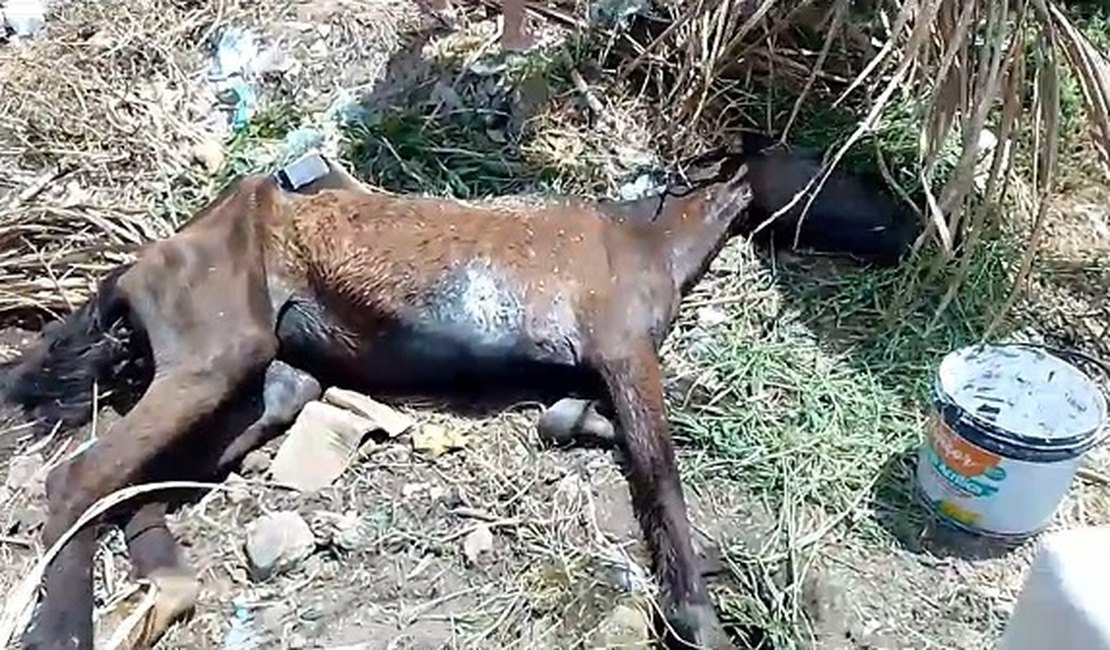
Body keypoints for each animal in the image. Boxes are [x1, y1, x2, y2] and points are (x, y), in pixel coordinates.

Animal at [2, 133, 919, 647]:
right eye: (840, 171)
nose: (909, 230)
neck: (644, 237)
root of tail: (139, 264)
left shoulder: (583, 372)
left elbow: (570, 420)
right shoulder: (626, 354)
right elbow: (661, 473)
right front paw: (698, 619)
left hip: (271, 381)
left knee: (141, 486)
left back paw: (165, 577)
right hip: (215, 356)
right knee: (79, 478)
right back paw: (63, 631)